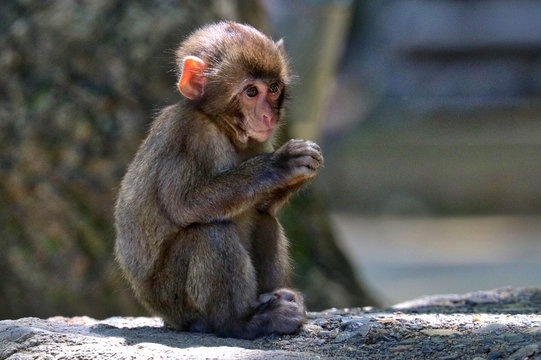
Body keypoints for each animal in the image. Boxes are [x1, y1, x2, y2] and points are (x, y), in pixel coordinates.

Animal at [114, 21, 322, 338]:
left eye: (273, 89)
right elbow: (185, 204)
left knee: (264, 219)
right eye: (251, 91)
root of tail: (166, 317)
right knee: (209, 232)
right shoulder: (190, 135)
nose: (268, 116)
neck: (223, 125)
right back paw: (242, 321)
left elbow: (264, 207)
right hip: (175, 300)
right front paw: (280, 165)